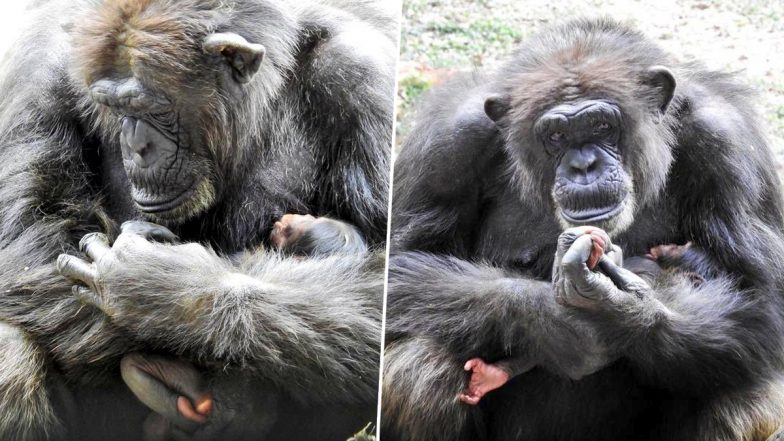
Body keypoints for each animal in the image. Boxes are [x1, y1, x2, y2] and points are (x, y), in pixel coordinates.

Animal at [0, 0, 392, 440]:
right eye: (115, 108)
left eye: (154, 108)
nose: (136, 145)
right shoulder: (39, 71)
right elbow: (32, 245)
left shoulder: (363, 79)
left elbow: (379, 280)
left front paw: (159, 288)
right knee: (12, 349)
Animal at [382, 17, 784, 440]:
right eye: (556, 135)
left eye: (602, 125)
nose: (583, 165)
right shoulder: (447, 147)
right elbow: (402, 263)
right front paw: (555, 321)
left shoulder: (728, 144)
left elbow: (761, 298)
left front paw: (619, 313)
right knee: (418, 365)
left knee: (748, 392)